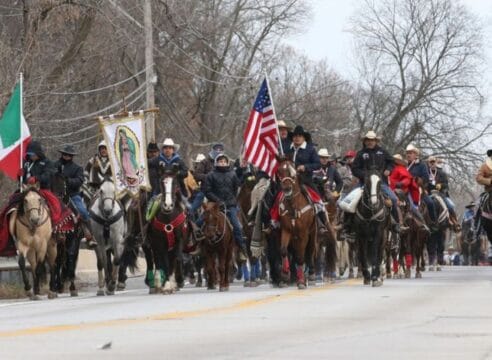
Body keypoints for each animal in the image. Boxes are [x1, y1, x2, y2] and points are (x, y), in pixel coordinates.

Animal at [274, 158, 318, 290]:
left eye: (293, 171)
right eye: (279, 171)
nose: (287, 189)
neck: (293, 205)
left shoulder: (303, 233)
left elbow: (300, 257)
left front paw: (302, 282)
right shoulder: (286, 230)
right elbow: (283, 250)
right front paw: (285, 274)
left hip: (312, 233)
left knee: (310, 251)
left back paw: (311, 275)